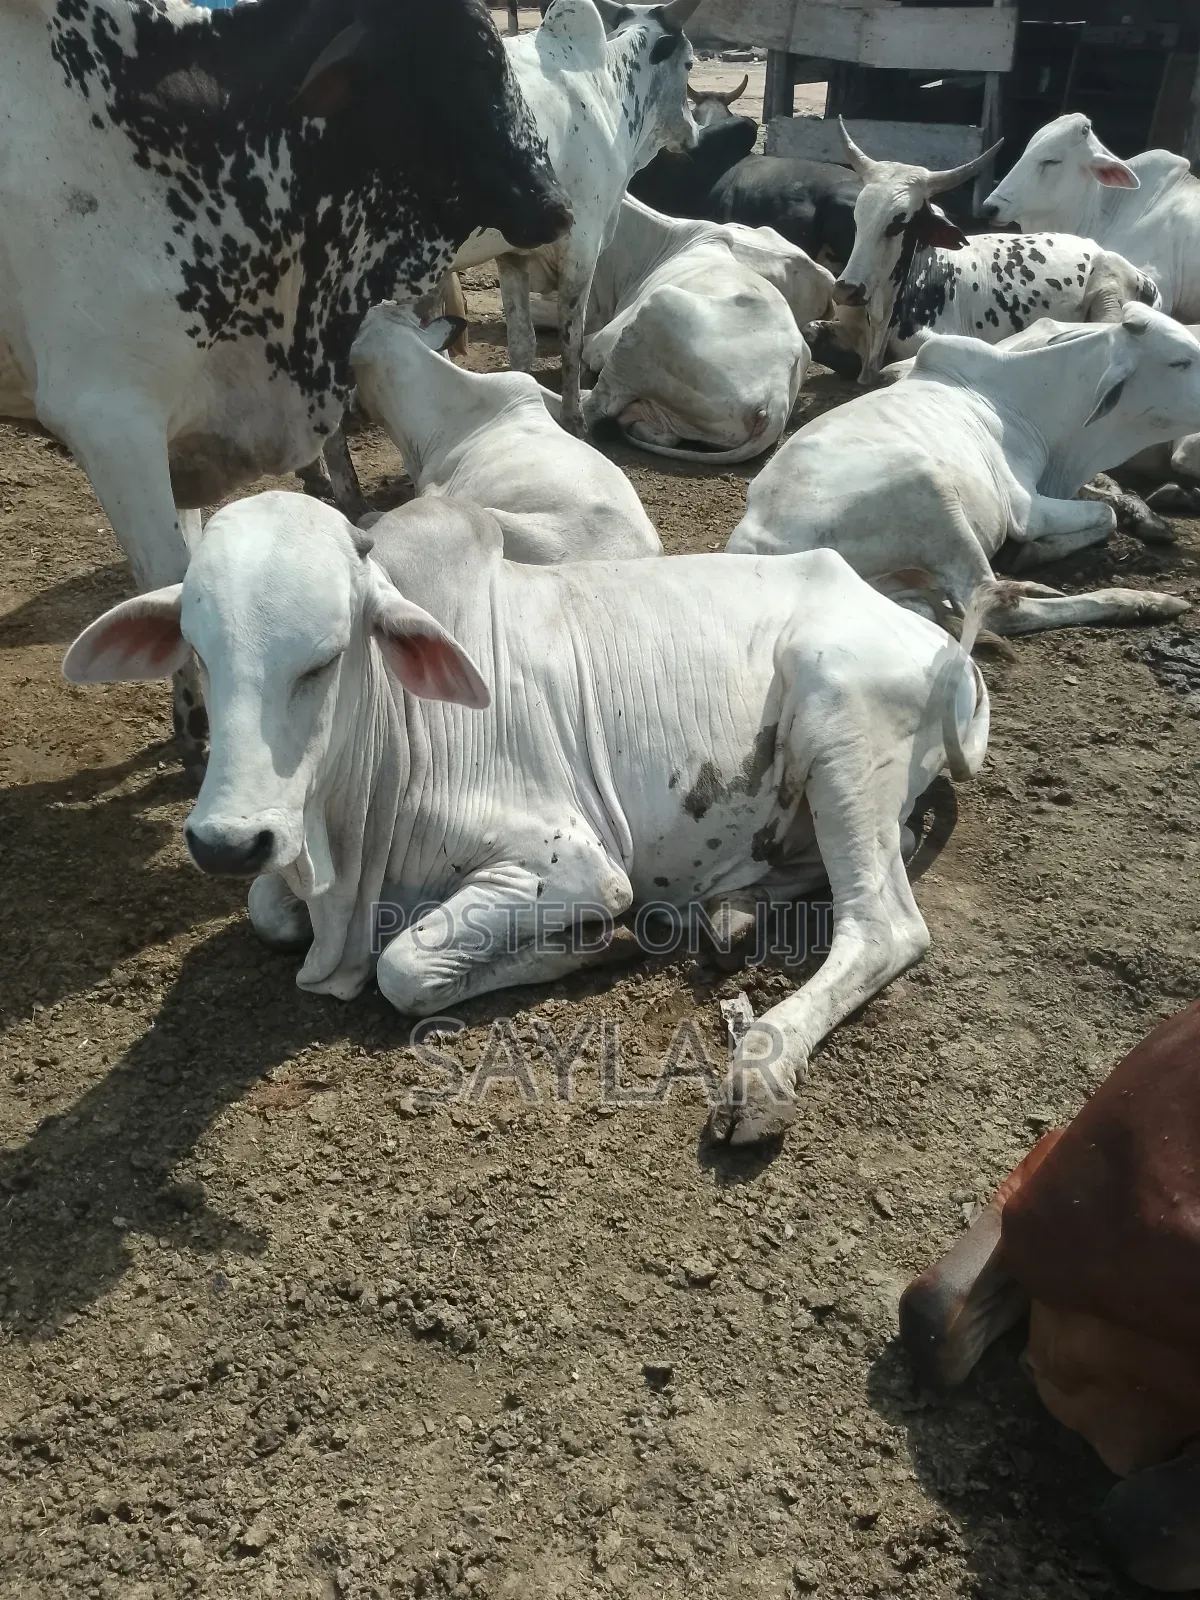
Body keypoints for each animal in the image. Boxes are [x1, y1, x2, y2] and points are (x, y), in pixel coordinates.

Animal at [64, 489, 995, 1146]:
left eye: (322, 661)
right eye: (198, 654)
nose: (227, 842)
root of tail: (935, 644)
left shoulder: (574, 861)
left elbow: (404, 967)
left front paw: (596, 943)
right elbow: (268, 912)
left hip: (838, 722)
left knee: (881, 927)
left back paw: (758, 1069)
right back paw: (726, 915)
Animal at [453, 0, 701, 434]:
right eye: (688, 63)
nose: (694, 131)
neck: (606, 89)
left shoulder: (512, 253)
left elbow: (522, 343)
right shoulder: (581, 244)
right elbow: (572, 343)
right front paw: (574, 422)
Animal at [726, 305, 1198, 637]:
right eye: (1179, 361)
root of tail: (751, 548)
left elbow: (1108, 508)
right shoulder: (1025, 509)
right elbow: (1106, 515)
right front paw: (1035, 552)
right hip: (932, 492)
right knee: (995, 609)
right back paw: (1145, 601)